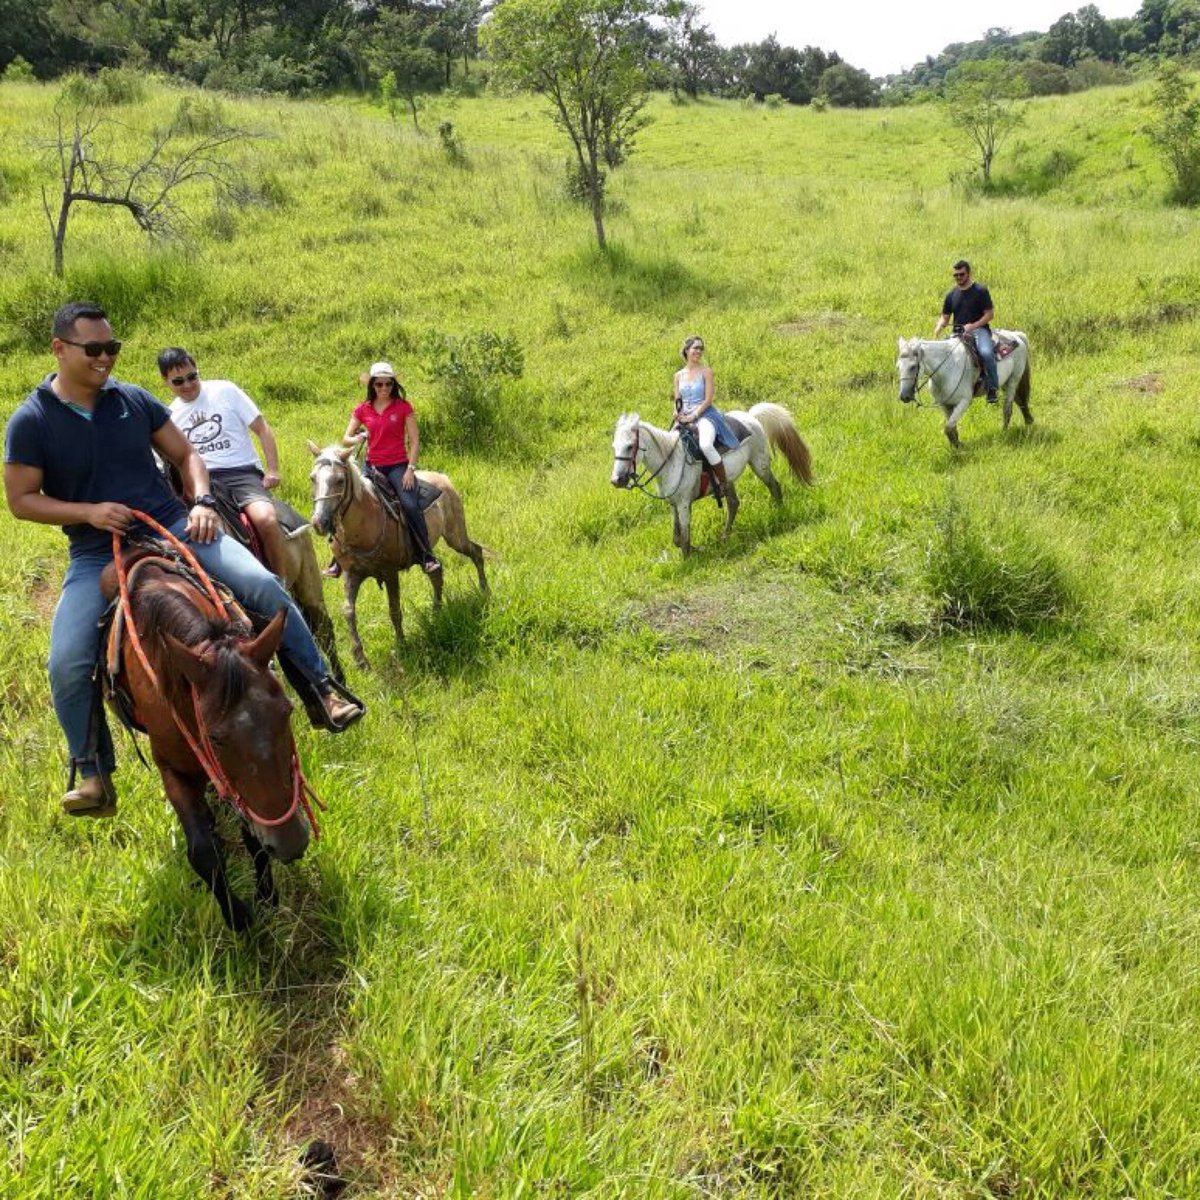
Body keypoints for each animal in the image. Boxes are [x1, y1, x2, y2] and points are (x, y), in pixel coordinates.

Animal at [103, 540, 321, 931]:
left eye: (287, 712)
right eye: (216, 737)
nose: (291, 843)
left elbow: (251, 833)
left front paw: (267, 896)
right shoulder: (172, 769)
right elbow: (202, 851)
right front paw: (238, 918)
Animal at [307, 444, 489, 672]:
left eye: (340, 480)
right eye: (312, 478)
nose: (319, 522)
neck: (363, 524)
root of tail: (443, 478)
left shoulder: (390, 573)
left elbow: (394, 610)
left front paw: (402, 644)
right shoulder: (352, 573)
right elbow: (348, 610)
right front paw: (360, 659)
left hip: (455, 536)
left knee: (476, 552)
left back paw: (484, 590)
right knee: (437, 572)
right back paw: (436, 612)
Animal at [609, 400, 816, 554]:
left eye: (629, 446)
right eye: (614, 447)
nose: (617, 480)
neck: (671, 460)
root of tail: (751, 416)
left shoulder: (684, 504)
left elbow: (684, 539)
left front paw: (689, 560)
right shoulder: (674, 504)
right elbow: (677, 538)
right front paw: (697, 549)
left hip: (759, 464)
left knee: (774, 486)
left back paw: (779, 512)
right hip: (729, 479)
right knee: (733, 503)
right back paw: (725, 537)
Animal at [902, 331, 1032, 448]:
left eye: (913, 367)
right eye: (898, 367)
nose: (904, 396)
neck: (946, 369)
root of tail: (1016, 335)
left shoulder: (964, 401)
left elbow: (948, 428)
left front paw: (959, 448)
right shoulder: (945, 404)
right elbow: (951, 428)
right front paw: (956, 447)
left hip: (1013, 380)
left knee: (1007, 409)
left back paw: (1004, 433)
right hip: (1005, 383)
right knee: (1020, 401)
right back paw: (1028, 421)